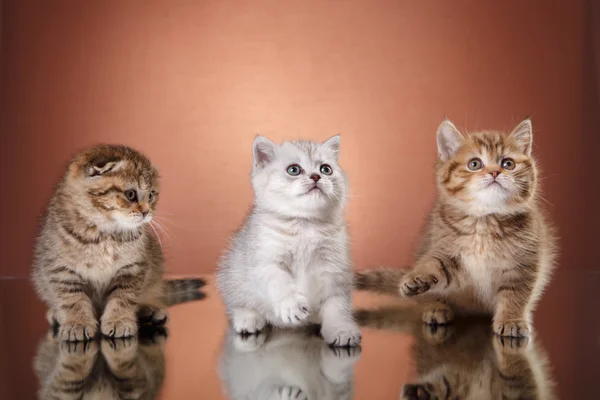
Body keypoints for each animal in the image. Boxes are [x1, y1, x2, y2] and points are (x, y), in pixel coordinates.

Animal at [32, 145, 206, 342]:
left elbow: (123, 297)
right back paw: (56, 314)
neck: (104, 233)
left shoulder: (132, 268)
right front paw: (77, 322)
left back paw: (151, 311)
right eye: (131, 194)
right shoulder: (60, 269)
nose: (146, 212)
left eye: (151, 195)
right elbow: (72, 299)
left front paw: (119, 320)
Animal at [217, 135, 360, 346]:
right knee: (237, 302)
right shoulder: (265, 261)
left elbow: (337, 304)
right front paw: (292, 305)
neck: (305, 226)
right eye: (294, 170)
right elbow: (280, 282)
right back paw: (248, 318)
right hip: (232, 274)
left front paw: (341, 328)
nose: (316, 177)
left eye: (326, 169)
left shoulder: (335, 270)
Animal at [356, 119, 556, 338]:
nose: (495, 172)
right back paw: (435, 307)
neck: (484, 222)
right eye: (475, 164)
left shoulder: (524, 262)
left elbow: (516, 294)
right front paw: (418, 279)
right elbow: (434, 265)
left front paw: (512, 320)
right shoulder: (447, 250)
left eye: (508, 164)